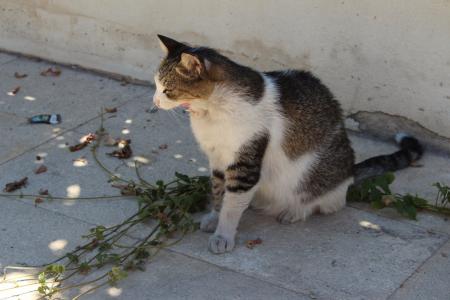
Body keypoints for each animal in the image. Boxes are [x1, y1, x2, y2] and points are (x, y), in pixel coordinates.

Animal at [153, 35, 424, 255]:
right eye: (155, 85)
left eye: (167, 90)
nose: (154, 101)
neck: (212, 111)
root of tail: (350, 171)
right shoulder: (218, 159)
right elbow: (219, 193)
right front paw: (214, 217)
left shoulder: (244, 161)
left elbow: (232, 204)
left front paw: (224, 235)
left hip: (315, 177)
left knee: (327, 202)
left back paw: (294, 211)